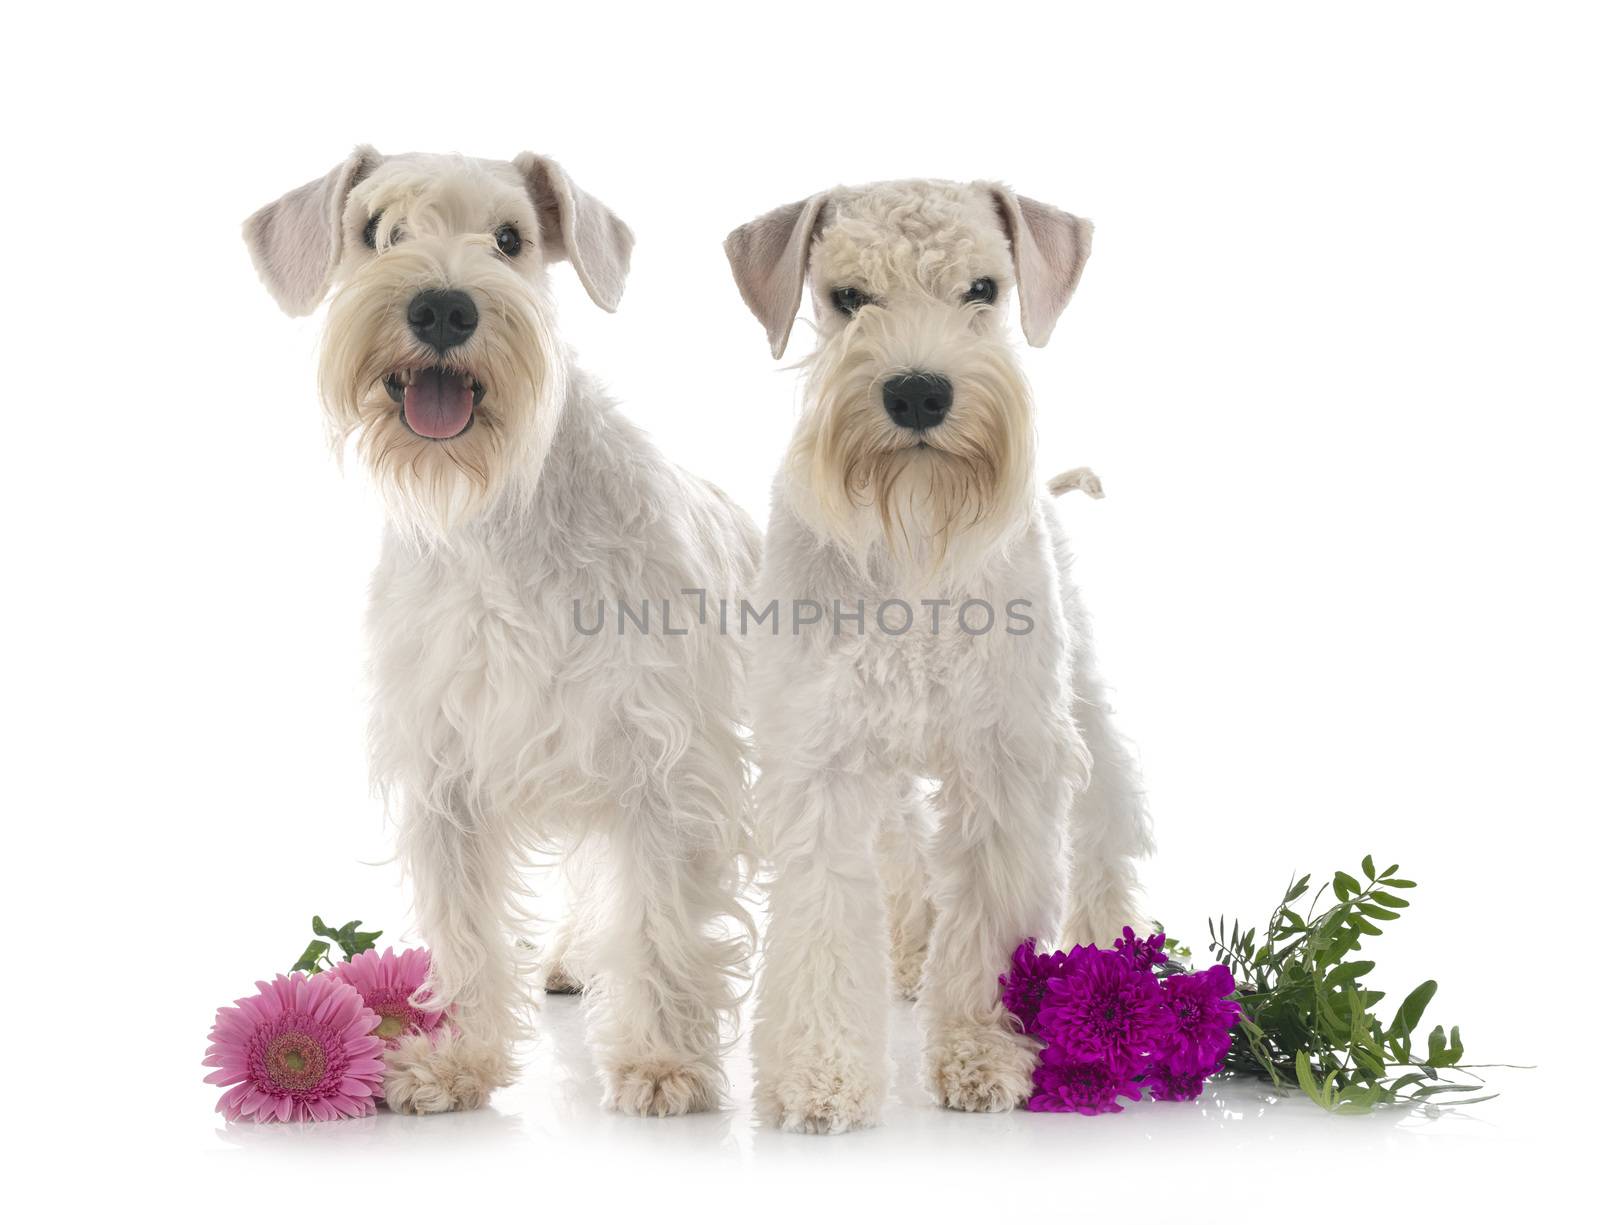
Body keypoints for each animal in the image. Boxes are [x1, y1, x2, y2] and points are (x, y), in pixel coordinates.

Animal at [243, 148, 755, 1119]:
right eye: (377, 230)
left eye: (511, 238)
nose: (443, 307)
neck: (500, 519)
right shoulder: (448, 772)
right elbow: (468, 932)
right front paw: (460, 1061)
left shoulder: (665, 766)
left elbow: (661, 921)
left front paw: (661, 1061)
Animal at [726, 177, 1152, 1138]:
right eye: (848, 297)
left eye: (984, 289)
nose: (918, 393)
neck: (914, 539)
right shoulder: (823, 759)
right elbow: (823, 927)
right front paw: (820, 1075)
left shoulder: (1008, 759)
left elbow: (991, 926)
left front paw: (983, 1055)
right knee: (906, 859)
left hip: (1084, 714)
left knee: (1107, 834)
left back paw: (1111, 956)